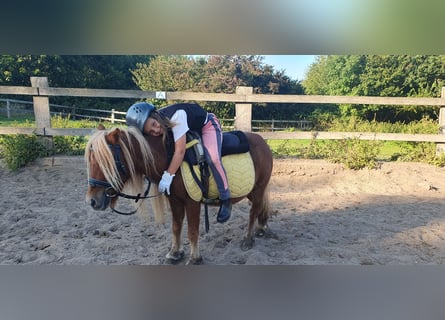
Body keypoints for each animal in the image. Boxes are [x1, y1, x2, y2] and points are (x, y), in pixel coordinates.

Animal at [85, 125, 276, 264]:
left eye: (107, 161)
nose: (92, 201)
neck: (169, 158)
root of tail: (262, 141)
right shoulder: (175, 201)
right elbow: (176, 227)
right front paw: (175, 253)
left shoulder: (192, 202)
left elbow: (192, 231)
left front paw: (195, 258)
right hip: (251, 190)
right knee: (261, 206)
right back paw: (262, 227)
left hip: (258, 188)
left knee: (253, 211)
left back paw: (248, 238)